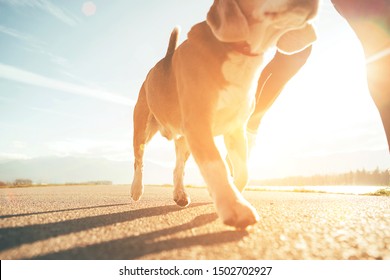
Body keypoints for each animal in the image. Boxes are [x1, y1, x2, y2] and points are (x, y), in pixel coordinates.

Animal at [132, 0, 320, 228]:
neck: (238, 52)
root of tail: (164, 59)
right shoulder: (199, 124)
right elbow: (217, 165)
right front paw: (234, 207)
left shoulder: (235, 130)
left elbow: (244, 172)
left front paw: (231, 195)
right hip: (143, 129)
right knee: (139, 161)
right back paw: (136, 189)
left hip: (185, 141)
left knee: (178, 168)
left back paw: (180, 194)